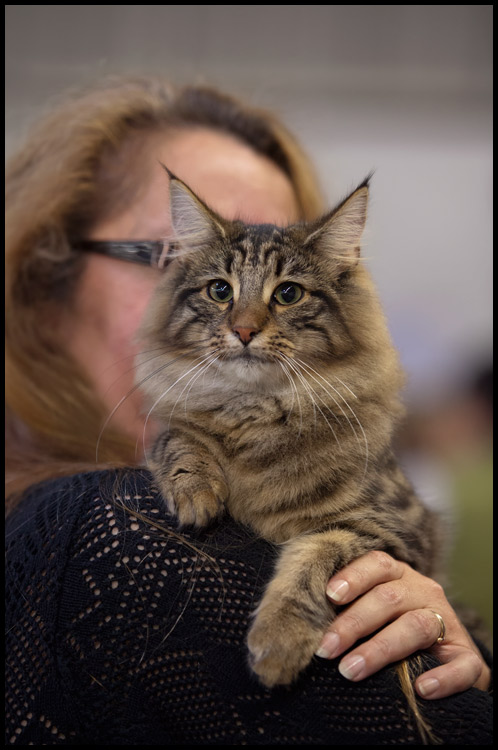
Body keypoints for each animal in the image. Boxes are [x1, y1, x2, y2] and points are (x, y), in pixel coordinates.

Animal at [136, 167, 440, 692]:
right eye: (220, 291)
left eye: (288, 294)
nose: (243, 330)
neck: (257, 411)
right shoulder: (175, 430)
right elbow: (179, 438)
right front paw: (197, 494)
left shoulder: (389, 534)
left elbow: (315, 558)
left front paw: (279, 644)